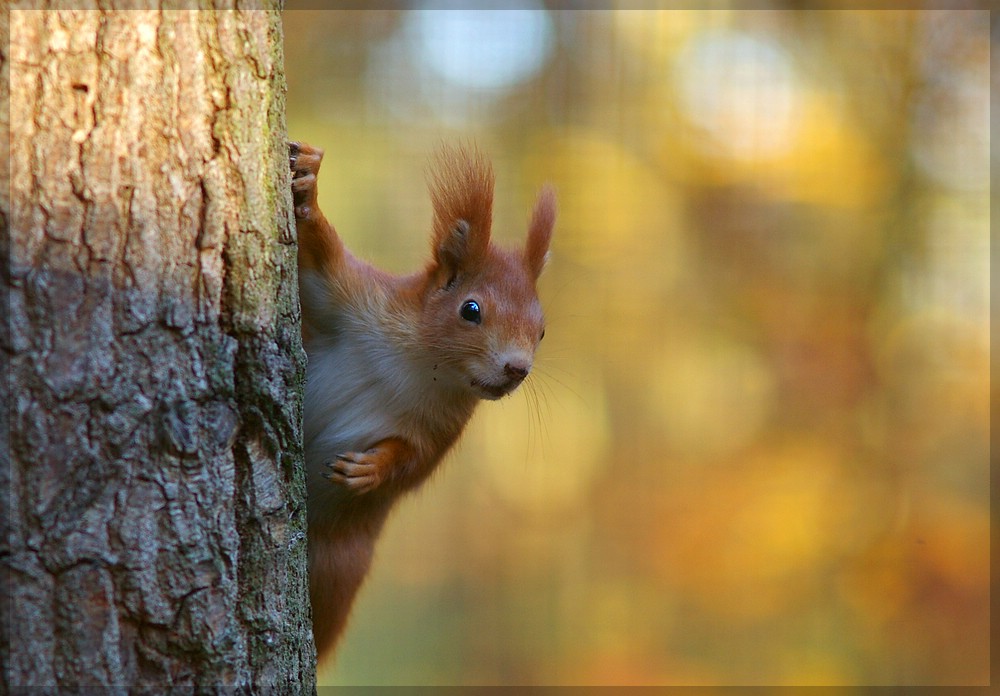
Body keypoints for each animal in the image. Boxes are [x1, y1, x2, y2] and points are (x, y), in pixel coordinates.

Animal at [288, 141, 556, 664]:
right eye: (470, 309)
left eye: (541, 331)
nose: (517, 369)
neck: (420, 365)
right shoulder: (353, 301)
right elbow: (319, 264)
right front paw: (308, 185)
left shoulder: (441, 428)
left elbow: (413, 462)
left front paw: (371, 469)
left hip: (338, 564)